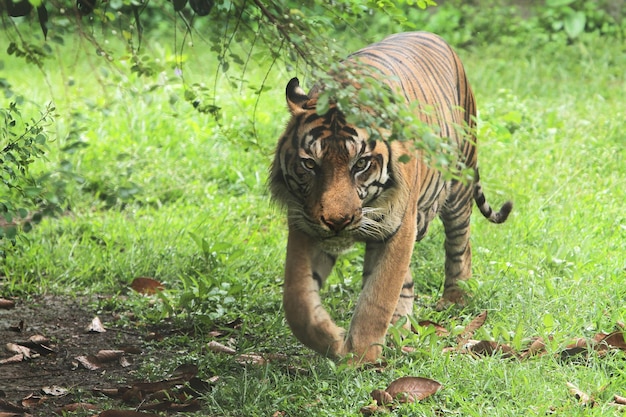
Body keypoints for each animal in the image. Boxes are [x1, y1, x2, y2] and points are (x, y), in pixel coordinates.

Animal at [266, 30, 508, 362]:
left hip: (459, 182)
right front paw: (330, 338)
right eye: (310, 164)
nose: (337, 222)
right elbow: (297, 299)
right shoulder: (304, 222)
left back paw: (454, 299)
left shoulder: (399, 226)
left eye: (360, 164)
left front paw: (361, 356)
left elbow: (378, 296)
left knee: (460, 245)